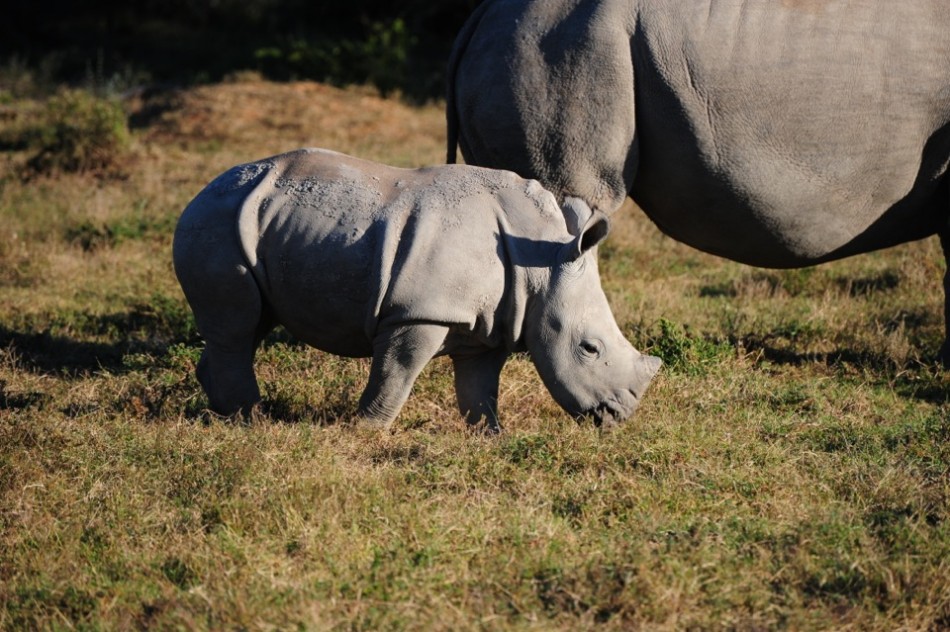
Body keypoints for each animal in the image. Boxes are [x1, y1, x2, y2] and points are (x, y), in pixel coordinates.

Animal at [173, 148, 661, 430]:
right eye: (589, 349)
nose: (619, 416)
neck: (538, 263)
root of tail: (201, 192)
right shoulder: (420, 310)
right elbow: (397, 373)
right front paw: (364, 432)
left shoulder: (493, 323)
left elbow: (479, 387)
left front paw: (490, 436)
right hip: (218, 223)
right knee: (238, 326)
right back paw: (250, 422)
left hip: (253, 225)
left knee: (249, 323)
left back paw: (224, 414)